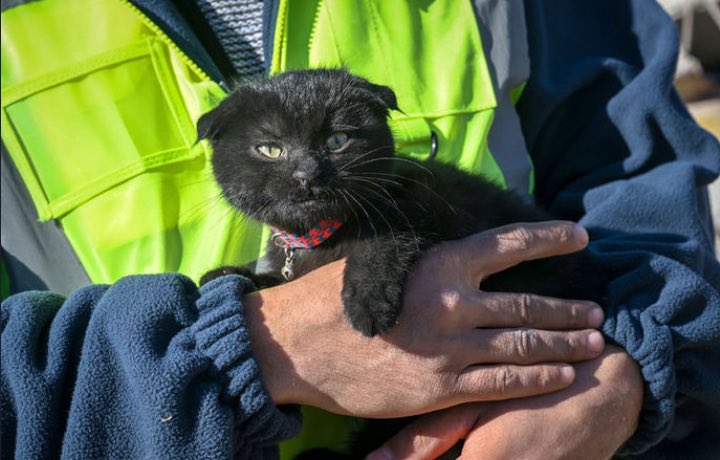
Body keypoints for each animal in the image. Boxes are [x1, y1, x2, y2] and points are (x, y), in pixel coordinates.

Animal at [195, 70, 600, 338]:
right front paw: (230, 275)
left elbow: (387, 232)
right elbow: (276, 280)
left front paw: (368, 300)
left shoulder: (437, 200)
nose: (306, 174)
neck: (322, 237)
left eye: (337, 140)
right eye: (270, 149)